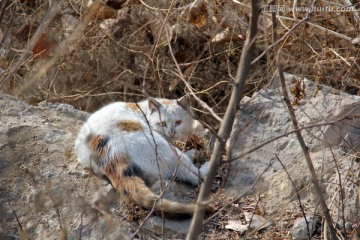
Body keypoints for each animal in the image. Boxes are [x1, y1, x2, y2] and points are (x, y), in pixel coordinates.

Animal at [74, 96, 214, 215]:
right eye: (163, 124)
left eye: (178, 122)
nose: (171, 133)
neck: (144, 111)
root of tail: (111, 155)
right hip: (164, 149)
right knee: (194, 176)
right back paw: (207, 164)